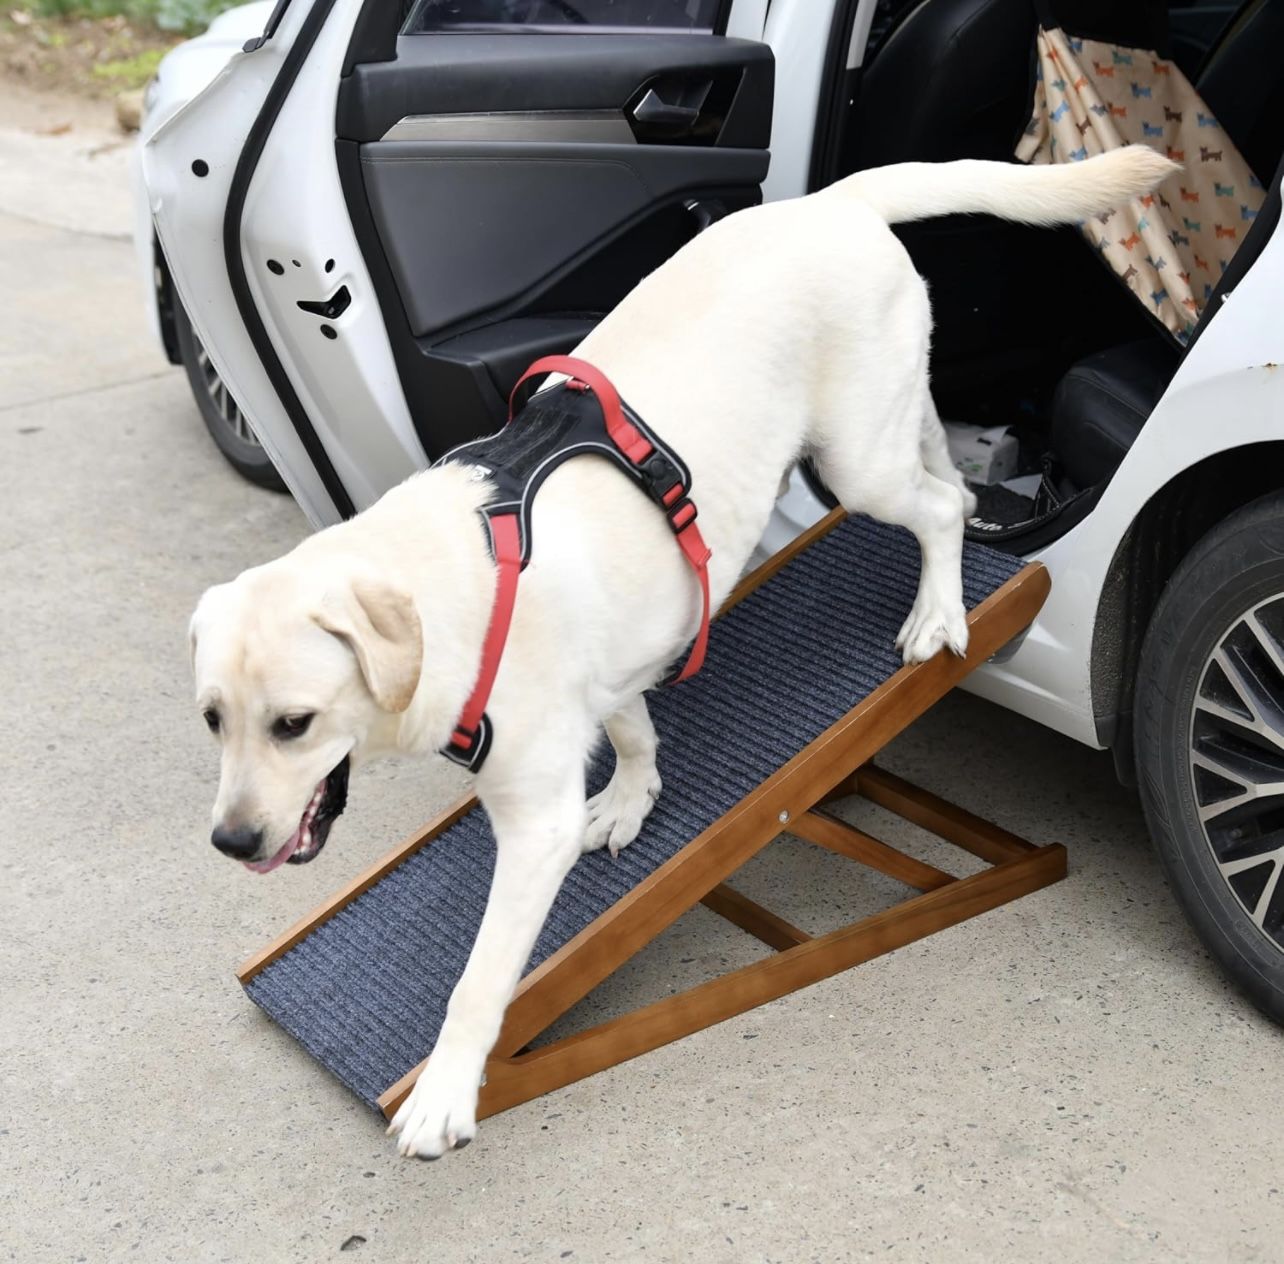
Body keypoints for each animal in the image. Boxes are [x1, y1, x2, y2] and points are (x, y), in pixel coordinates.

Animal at [190, 148, 1176, 1156]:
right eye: (213, 720)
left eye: (294, 723)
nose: (232, 842)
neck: (448, 585)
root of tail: (834, 199)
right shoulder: (620, 657)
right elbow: (633, 734)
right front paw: (632, 799)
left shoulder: (532, 821)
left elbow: (479, 978)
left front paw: (445, 1093)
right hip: (890, 420)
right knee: (945, 469)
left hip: (855, 461)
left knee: (937, 511)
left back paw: (937, 612)